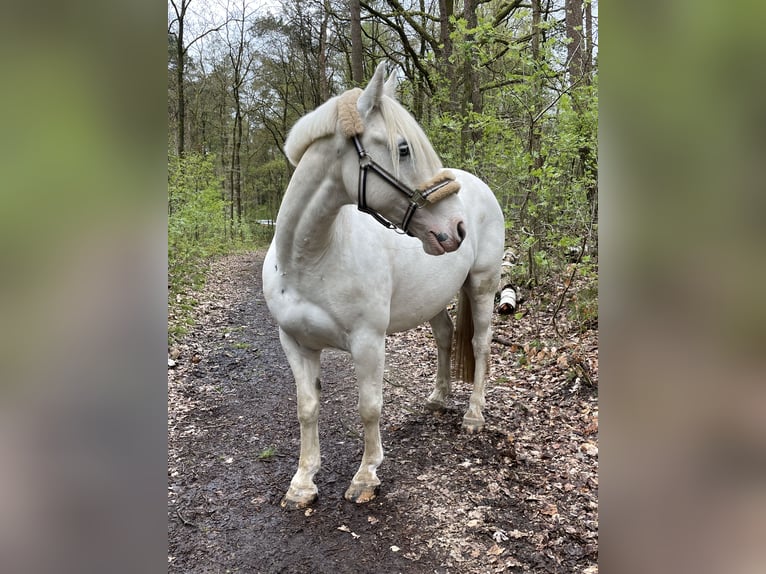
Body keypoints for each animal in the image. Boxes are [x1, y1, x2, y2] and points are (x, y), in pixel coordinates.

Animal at [260, 62, 508, 508]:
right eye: (403, 149)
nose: (457, 228)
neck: (309, 258)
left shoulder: (368, 341)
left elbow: (369, 407)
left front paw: (366, 476)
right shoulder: (295, 342)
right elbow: (306, 407)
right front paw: (302, 482)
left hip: (482, 285)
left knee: (480, 345)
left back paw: (473, 414)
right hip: (433, 298)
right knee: (445, 335)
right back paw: (438, 398)